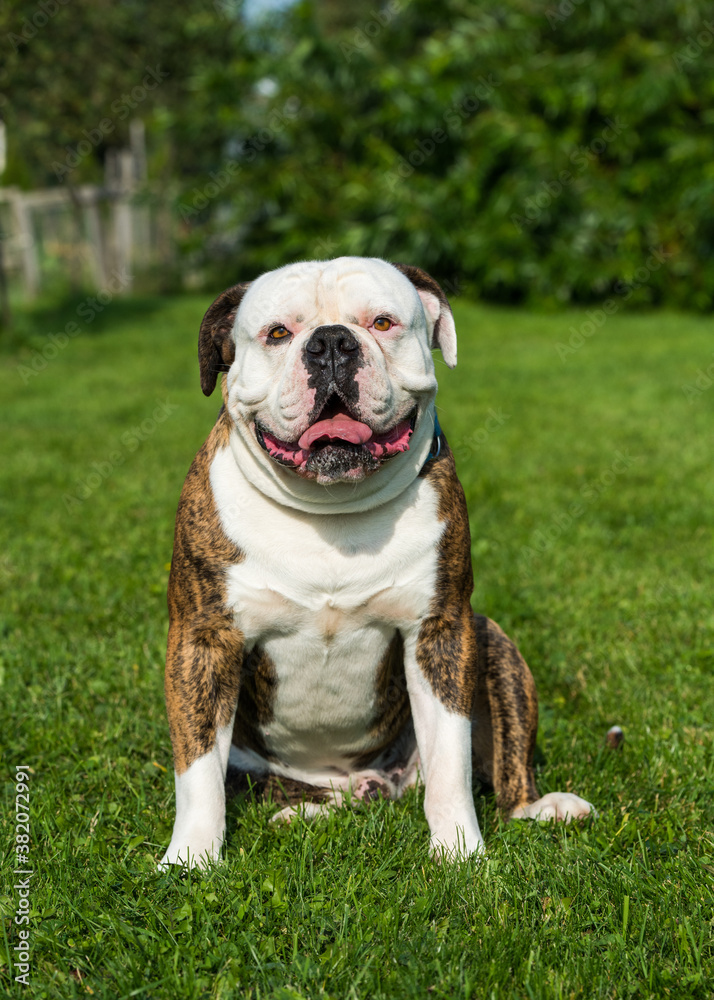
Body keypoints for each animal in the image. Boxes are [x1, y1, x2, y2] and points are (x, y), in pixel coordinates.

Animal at [159, 256, 592, 868]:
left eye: (382, 322)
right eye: (278, 334)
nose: (331, 342)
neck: (331, 509)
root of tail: (357, 781)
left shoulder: (441, 633)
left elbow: (451, 761)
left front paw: (459, 852)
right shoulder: (204, 640)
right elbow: (198, 769)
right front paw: (191, 860)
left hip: (493, 643)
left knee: (506, 766)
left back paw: (538, 806)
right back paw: (305, 812)